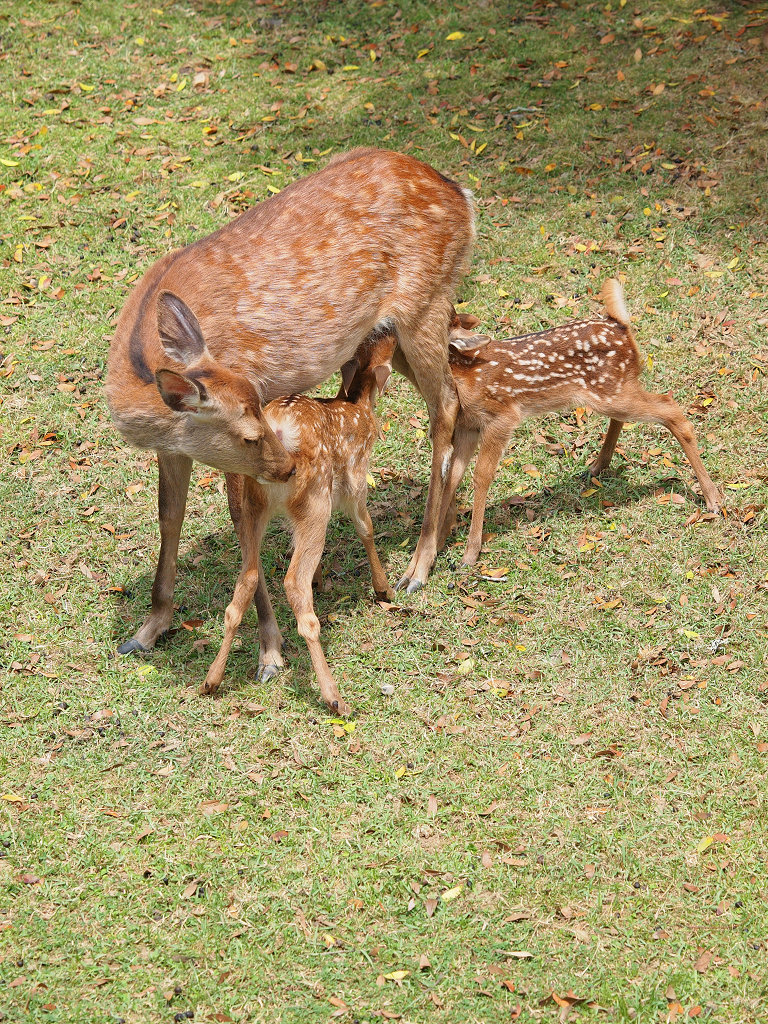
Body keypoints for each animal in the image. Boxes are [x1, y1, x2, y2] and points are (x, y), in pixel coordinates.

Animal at [105, 148, 473, 651]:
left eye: (259, 408)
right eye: (249, 430)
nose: (288, 466)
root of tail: (461, 195)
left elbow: (240, 521)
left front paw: (270, 649)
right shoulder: (174, 447)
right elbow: (169, 517)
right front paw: (147, 630)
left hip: (425, 303)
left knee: (445, 406)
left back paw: (417, 567)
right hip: (394, 333)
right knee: (456, 393)